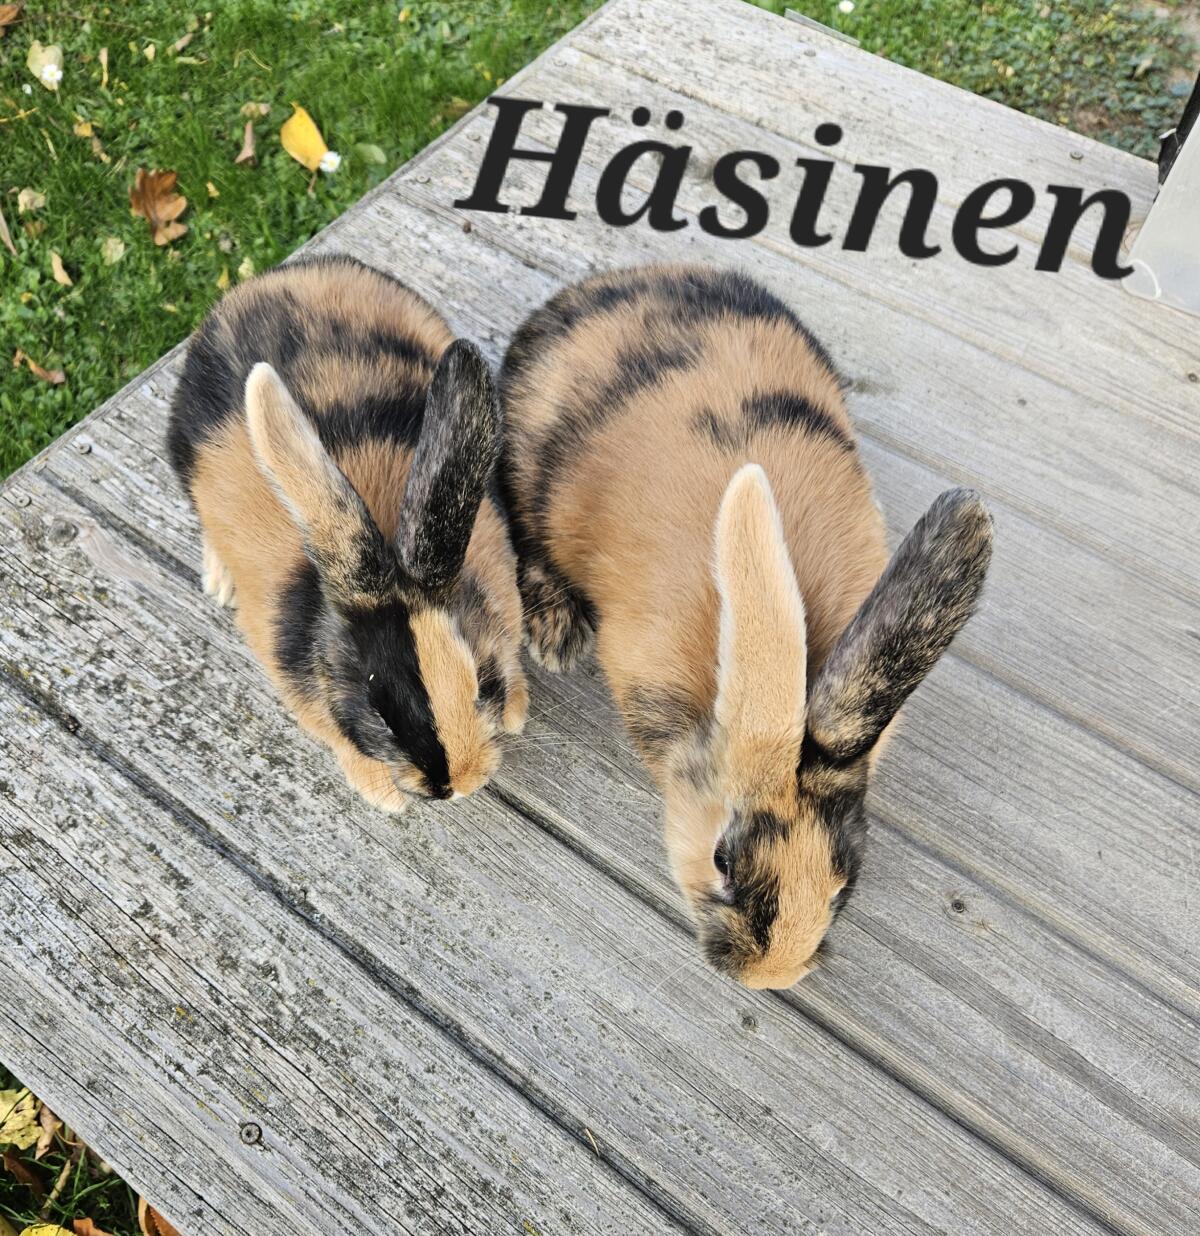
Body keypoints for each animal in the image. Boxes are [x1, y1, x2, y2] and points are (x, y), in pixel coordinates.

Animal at [167, 254, 528, 812]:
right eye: (380, 713)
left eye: (484, 681)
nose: (459, 785)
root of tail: (272, 279)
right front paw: (382, 796)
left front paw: (517, 713)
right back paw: (218, 581)